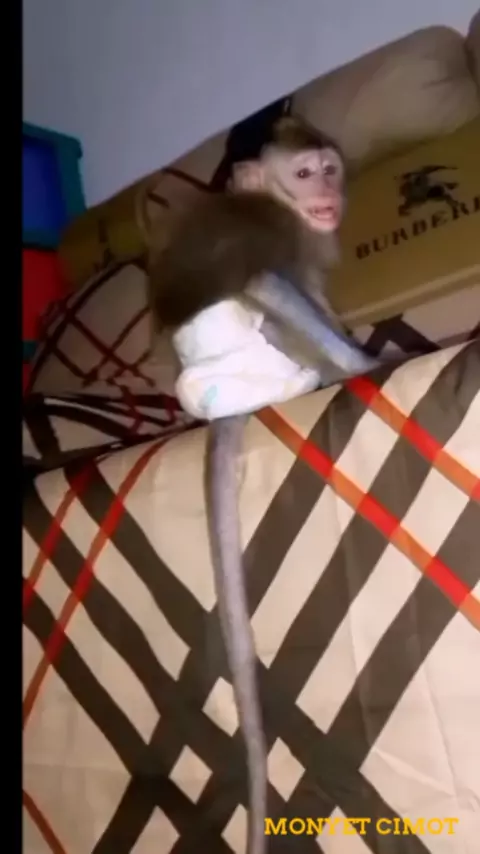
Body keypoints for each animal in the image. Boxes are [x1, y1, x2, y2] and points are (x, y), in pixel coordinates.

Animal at [148, 116, 381, 854]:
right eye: (304, 175)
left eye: (329, 168)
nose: (327, 193)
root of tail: (222, 405)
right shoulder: (274, 233)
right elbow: (270, 284)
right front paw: (365, 359)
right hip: (279, 366)